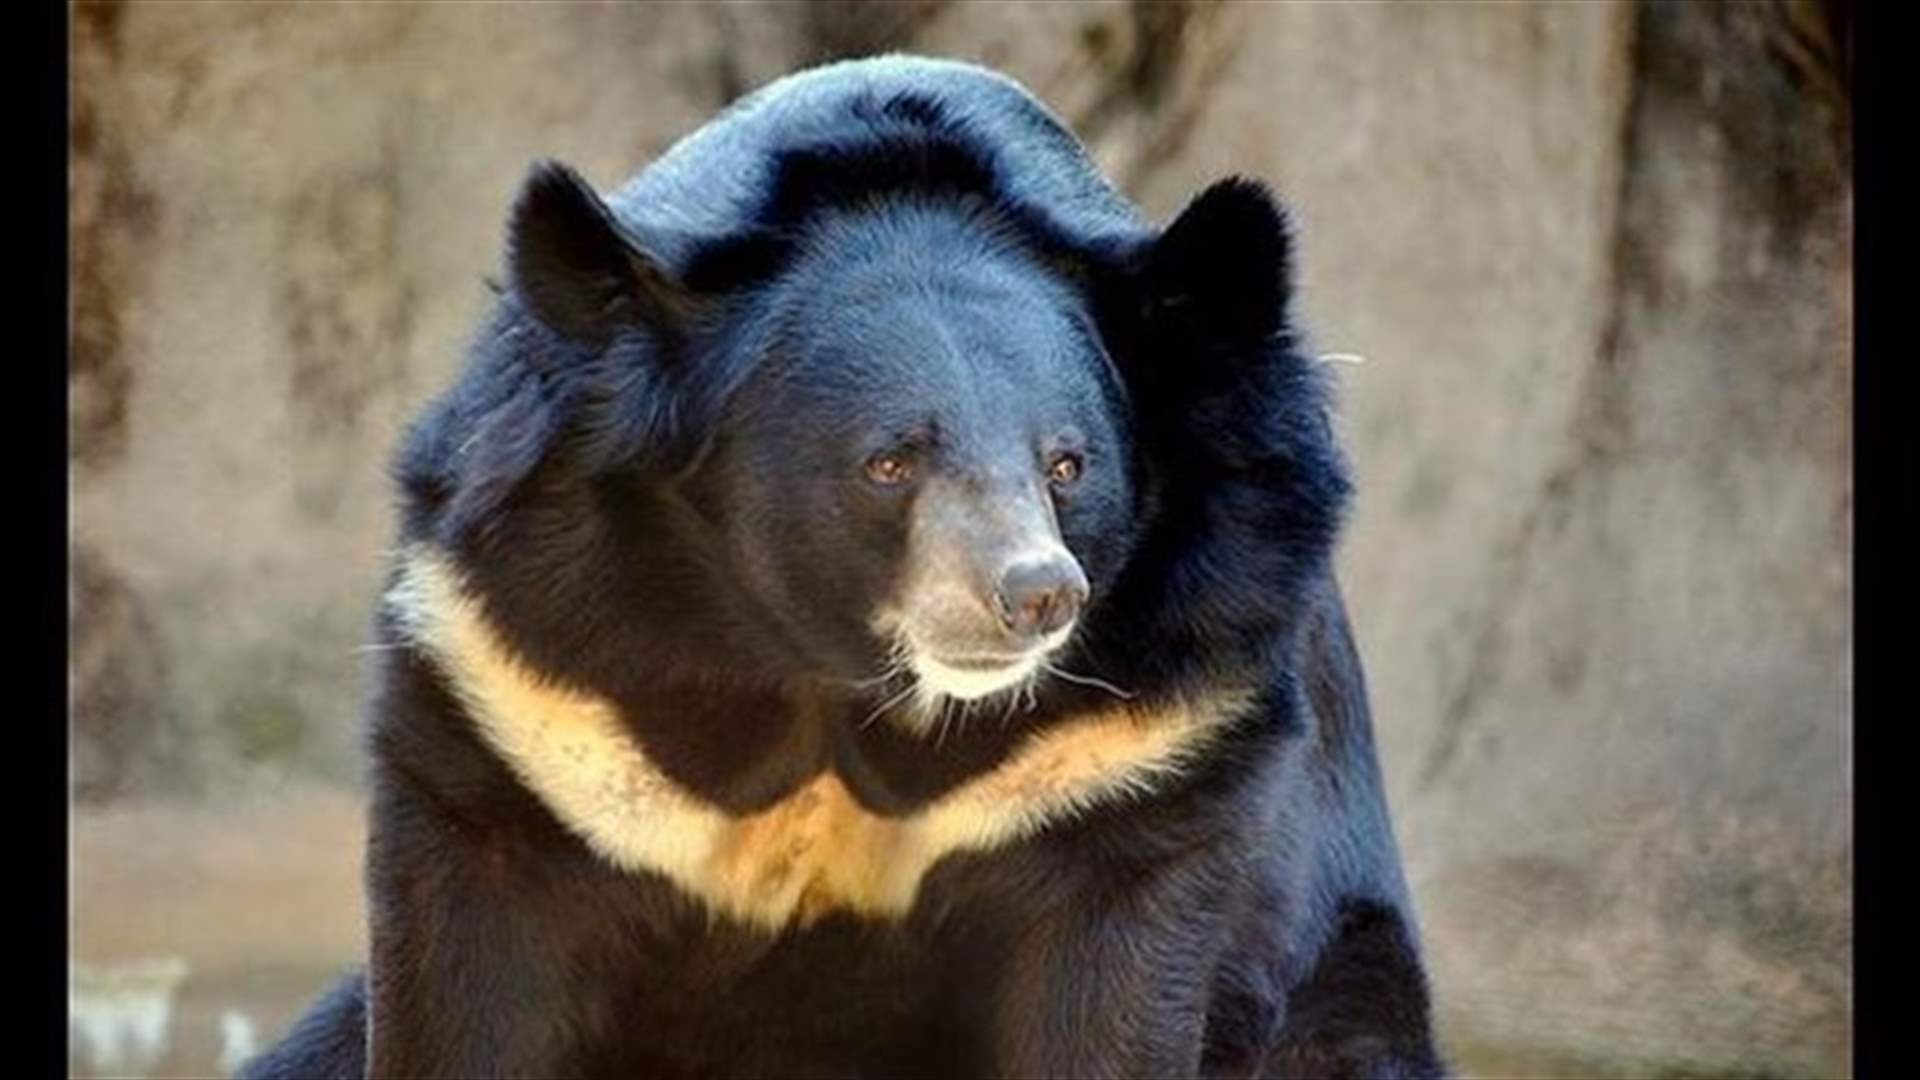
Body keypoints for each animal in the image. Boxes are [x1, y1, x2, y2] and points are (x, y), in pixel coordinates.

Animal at [242, 54, 1443, 1079]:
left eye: (1067, 463)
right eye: (888, 461)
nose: (1032, 595)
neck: (824, 672)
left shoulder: (1141, 736)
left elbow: (1108, 987)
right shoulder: (527, 684)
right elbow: (469, 966)